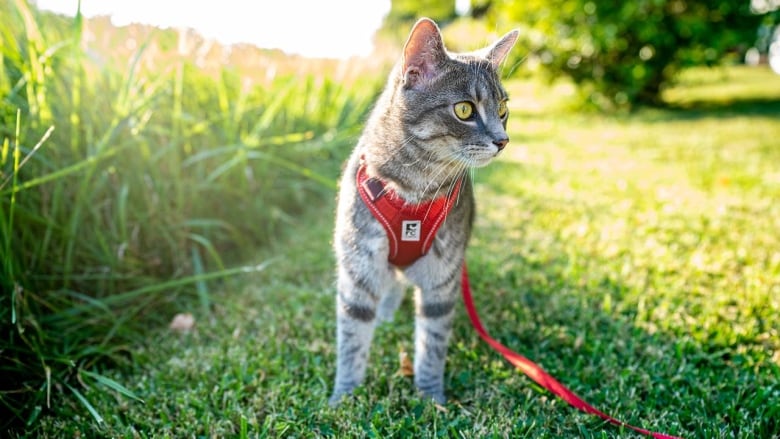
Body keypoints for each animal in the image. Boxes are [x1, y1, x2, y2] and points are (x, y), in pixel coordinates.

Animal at [330, 18, 516, 410]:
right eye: (465, 110)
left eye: (504, 108)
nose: (503, 140)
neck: (414, 190)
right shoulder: (358, 269)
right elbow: (352, 340)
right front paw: (343, 397)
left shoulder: (442, 279)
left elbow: (432, 344)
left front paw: (432, 397)